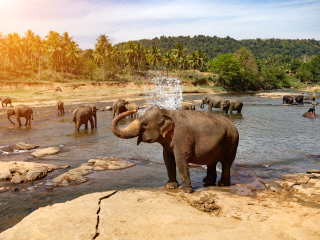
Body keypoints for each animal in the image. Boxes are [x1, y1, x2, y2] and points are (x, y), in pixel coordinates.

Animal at [111, 106, 239, 193]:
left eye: (145, 124)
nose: (134, 109)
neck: (167, 111)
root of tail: (232, 124)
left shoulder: (182, 136)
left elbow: (180, 159)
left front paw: (185, 190)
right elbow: (168, 160)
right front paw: (171, 186)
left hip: (232, 140)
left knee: (226, 163)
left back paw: (222, 184)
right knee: (212, 161)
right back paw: (207, 182)